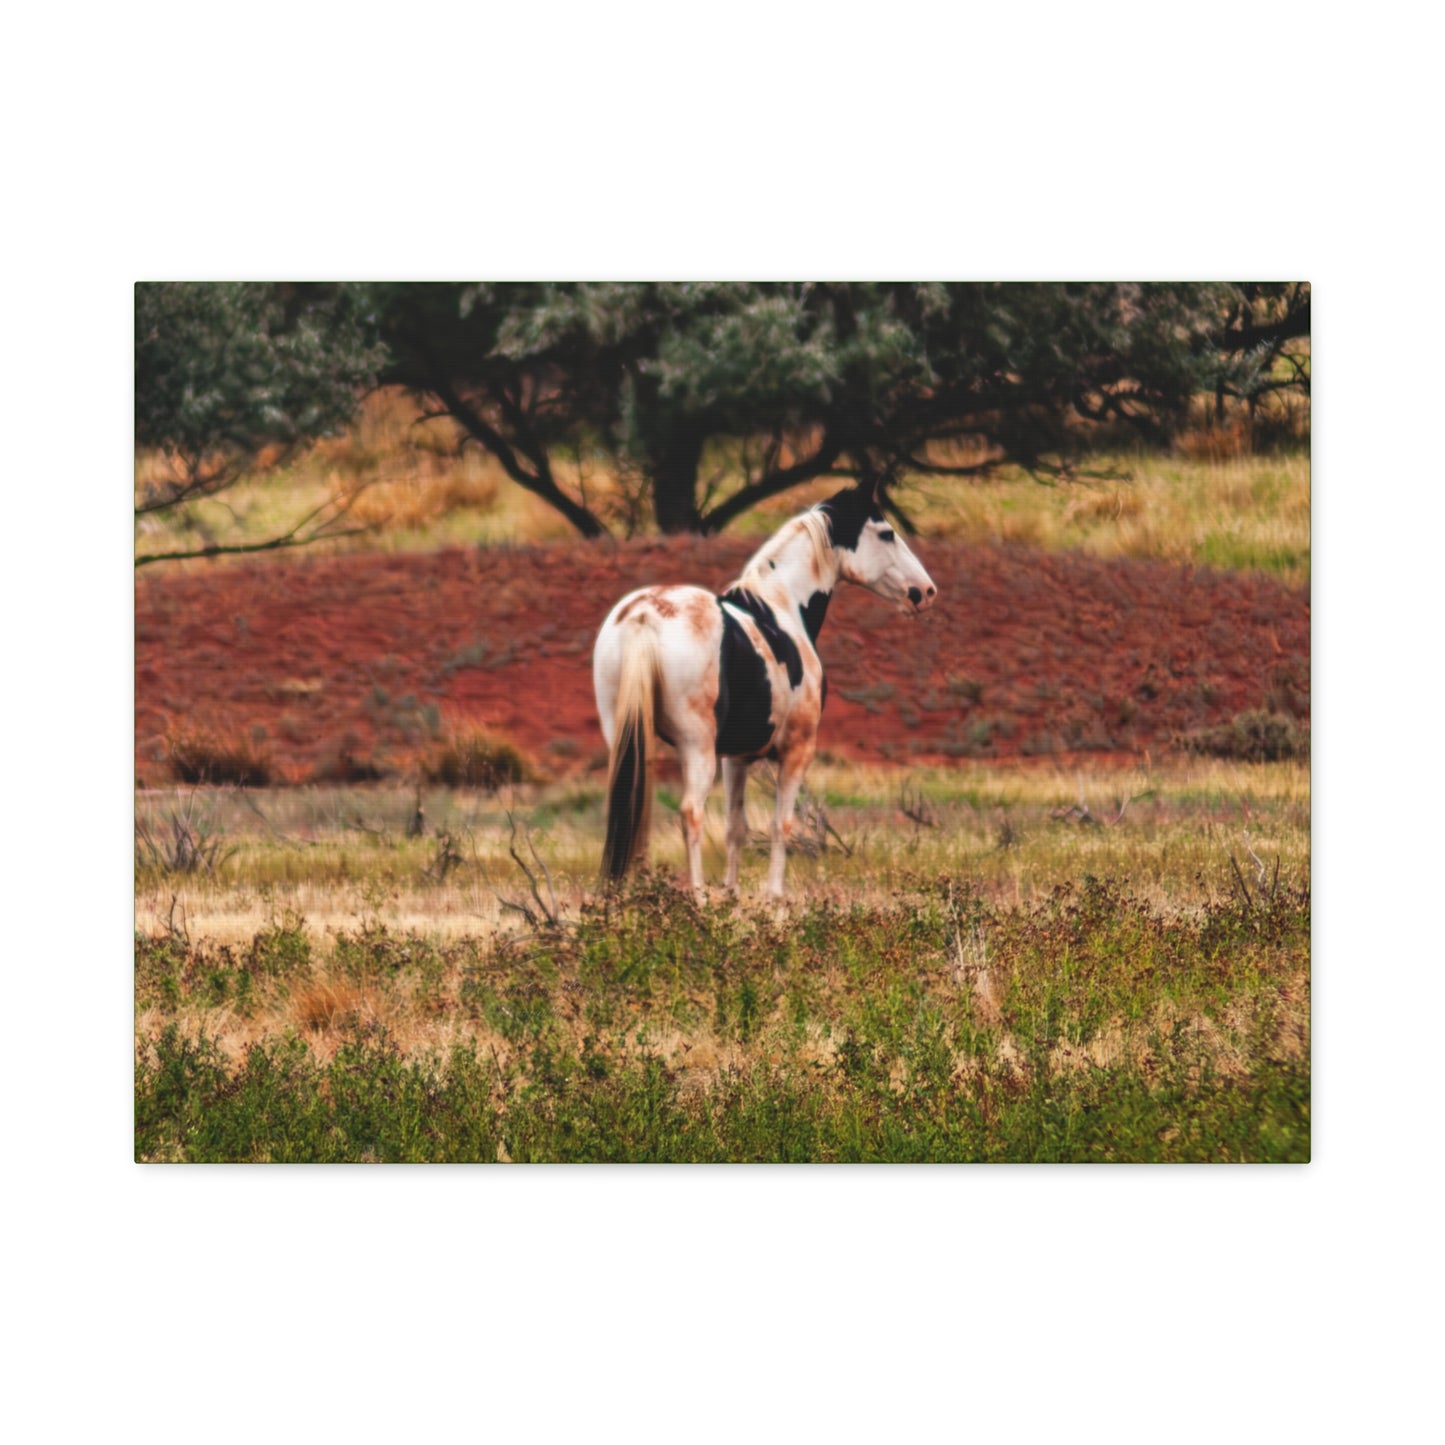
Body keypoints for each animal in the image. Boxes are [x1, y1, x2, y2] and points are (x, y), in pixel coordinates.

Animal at [592, 481, 938, 899]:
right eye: (886, 533)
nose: (925, 592)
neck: (780, 608)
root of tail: (645, 615)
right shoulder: (796, 751)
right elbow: (781, 824)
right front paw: (774, 896)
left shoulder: (735, 757)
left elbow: (735, 827)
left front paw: (732, 894)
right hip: (695, 746)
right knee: (691, 812)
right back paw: (698, 897)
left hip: (628, 736)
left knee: (632, 806)